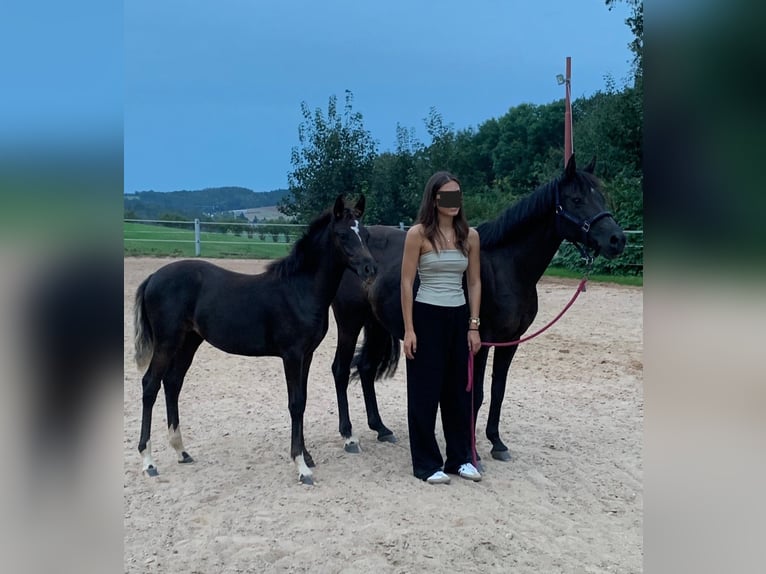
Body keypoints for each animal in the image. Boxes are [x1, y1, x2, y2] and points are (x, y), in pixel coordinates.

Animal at [136, 196, 380, 484]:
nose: (370, 269)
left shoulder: (306, 355)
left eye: (365, 234)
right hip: (167, 342)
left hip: (189, 341)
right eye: (343, 235)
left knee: (173, 383)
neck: (299, 289)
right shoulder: (292, 355)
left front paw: (307, 456)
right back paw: (148, 461)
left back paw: (181, 451)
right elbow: (295, 403)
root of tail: (153, 277)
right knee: (150, 385)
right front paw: (301, 467)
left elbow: (303, 400)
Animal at [332, 155, 628, 462]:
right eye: (577, 199)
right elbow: (477, 393)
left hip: (376, 324)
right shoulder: (480, 341)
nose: (617, 239)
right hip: (349, 323)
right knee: (340, 370)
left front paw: (497, 442)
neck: (506, 267)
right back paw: (349, 436)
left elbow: (498, 390)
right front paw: (470, 449)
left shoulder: (511, 341)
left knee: (366, 369)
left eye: (600, 196)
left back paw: (381, 428)